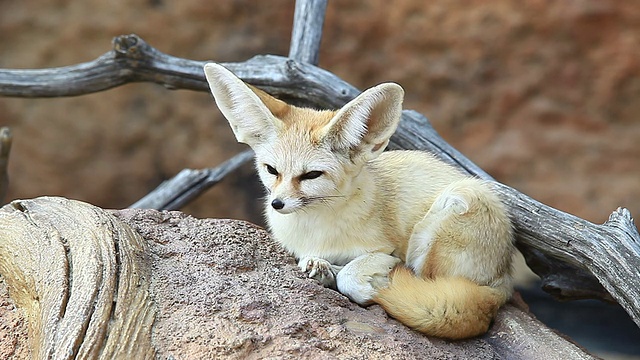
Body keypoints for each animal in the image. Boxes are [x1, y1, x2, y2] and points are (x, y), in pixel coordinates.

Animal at [205, 62, 516, 340]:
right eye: (272, 170)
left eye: (311, 175)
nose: (277, 204)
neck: (315, 228)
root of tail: (505, 278)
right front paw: (322, 267)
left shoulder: (386, 250)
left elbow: (354, 274)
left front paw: (366, 284)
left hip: (452, 207)